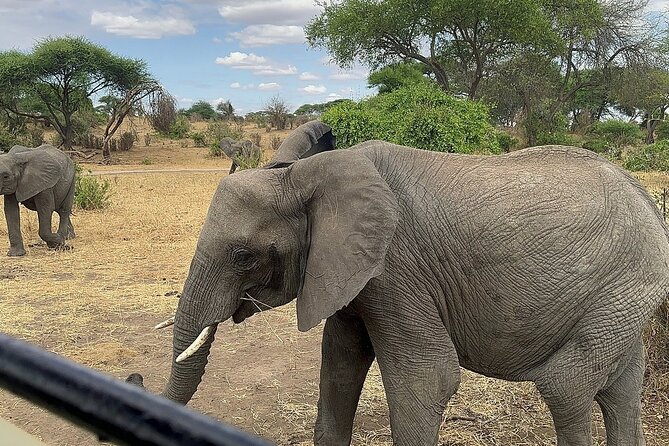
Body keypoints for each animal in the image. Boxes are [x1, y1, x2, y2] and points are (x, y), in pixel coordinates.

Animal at [136, 140, 669, 446]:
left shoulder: (396, 269)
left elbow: (426, 379)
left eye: (242, 255)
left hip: (625, 285)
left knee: (569, 386)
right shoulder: (351, 276)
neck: (303, 175)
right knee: (620, 388)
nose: (135, 377)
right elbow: (340, 367)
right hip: (626, 299)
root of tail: (644, 195)